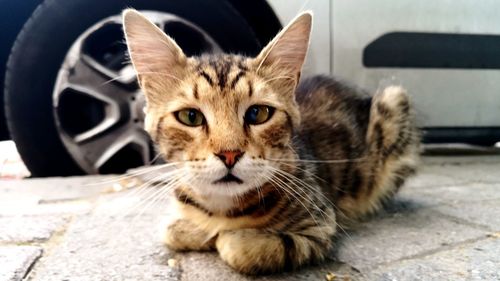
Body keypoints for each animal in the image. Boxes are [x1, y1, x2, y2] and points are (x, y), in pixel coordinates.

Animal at [121, 8, 418, 274]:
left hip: (393, 103)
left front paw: (228, 237)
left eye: (258, 113)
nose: (229, 154)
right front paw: (193, 227)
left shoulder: (320, 226)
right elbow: (171, 229)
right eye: (190, 116)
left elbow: (243, 248)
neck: (220, 207)